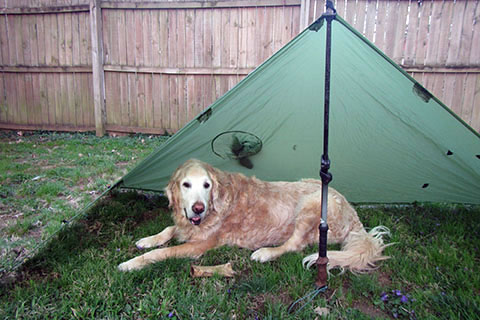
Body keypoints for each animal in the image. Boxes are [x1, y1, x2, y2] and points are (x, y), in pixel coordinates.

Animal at [117, 159, 390, 272]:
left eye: (206, 185)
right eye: (186, 185)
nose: (198, 208)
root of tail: (354, 216)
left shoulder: (199, 245)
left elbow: (161, 253)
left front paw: (131, 263)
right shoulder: (189, 225)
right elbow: (168, 230)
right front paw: (148, 239)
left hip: (312, 204)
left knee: (294, 245)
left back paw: (266, 252)